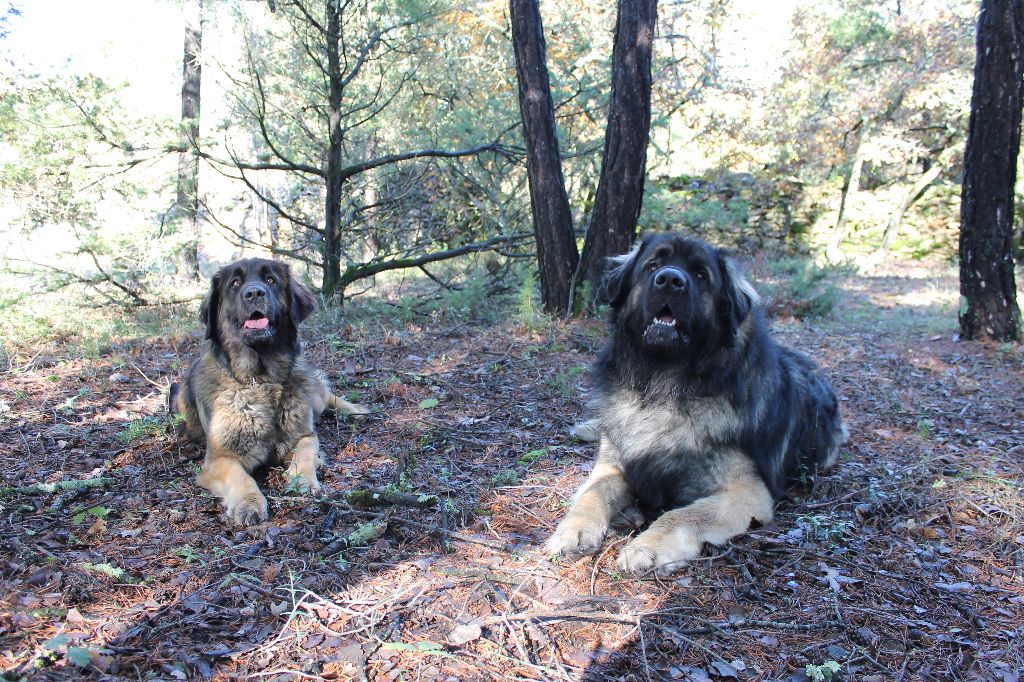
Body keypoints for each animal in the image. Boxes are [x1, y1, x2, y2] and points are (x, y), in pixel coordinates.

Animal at [169, 258, 370, 522]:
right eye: (235, 283)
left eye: (270, 280)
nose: (254, 293)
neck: (261, 379)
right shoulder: (221, 458)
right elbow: (241, 478)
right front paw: (249, 502)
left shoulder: (305, 436)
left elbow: (305, 457)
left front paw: (303, 481)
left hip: (313, 396)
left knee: (326, 395)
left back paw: (356, 410)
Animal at [552, 233, 847, 573]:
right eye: (652, 265)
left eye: (701, 275)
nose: (669, 280)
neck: (663, 385)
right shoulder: (612, 463)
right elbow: (594, 491)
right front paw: (574, 530)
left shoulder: (746, 493)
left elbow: (683, 514)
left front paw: (646, 547)